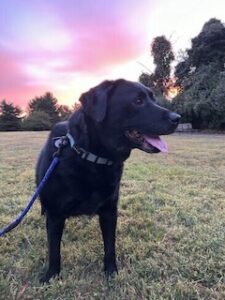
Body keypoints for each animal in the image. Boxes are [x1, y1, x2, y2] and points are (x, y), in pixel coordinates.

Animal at [37, 78, 181, 282]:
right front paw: (51, 276)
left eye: (153, 99)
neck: (92, 158)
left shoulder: (109, 211)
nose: (177, 118)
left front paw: (111, 272)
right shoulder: (56, 215)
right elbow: (54, 250)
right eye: (138, 101)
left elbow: (110, 246)